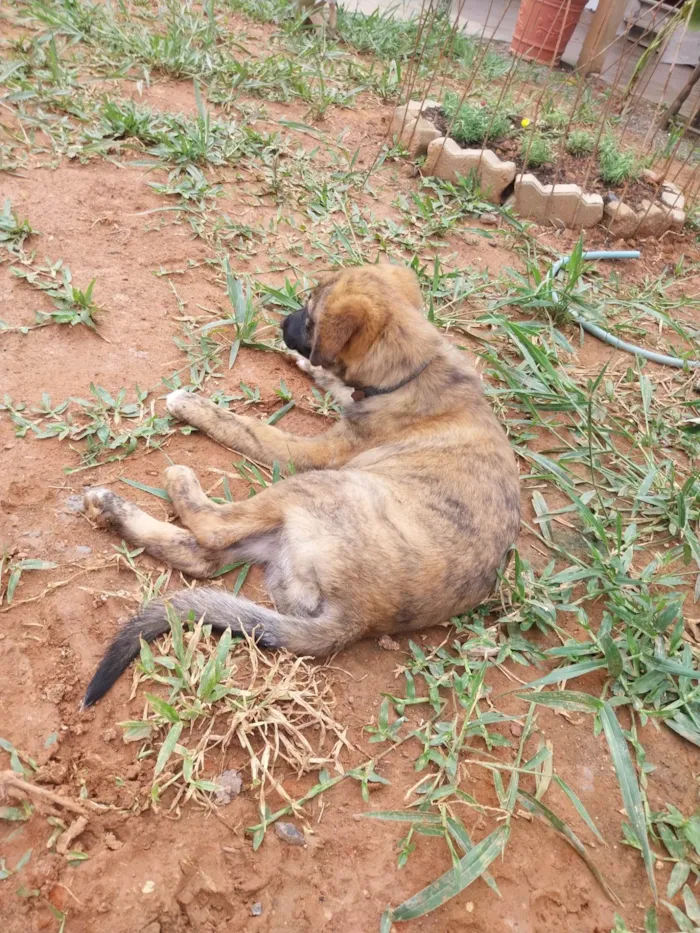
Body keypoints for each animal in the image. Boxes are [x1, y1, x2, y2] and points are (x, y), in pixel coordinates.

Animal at [82, 262, 520, 708]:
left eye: (310, 318)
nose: (279, 323)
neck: (417, 368)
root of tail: (358, 618)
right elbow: (333, 378)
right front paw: (305, 363)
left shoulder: (315, 453)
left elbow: (250, 427)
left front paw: (195, 406)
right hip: (282, 539)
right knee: (202, 558)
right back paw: (109, 506)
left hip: (318, 486)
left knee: (214, 528)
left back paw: (176, 480)